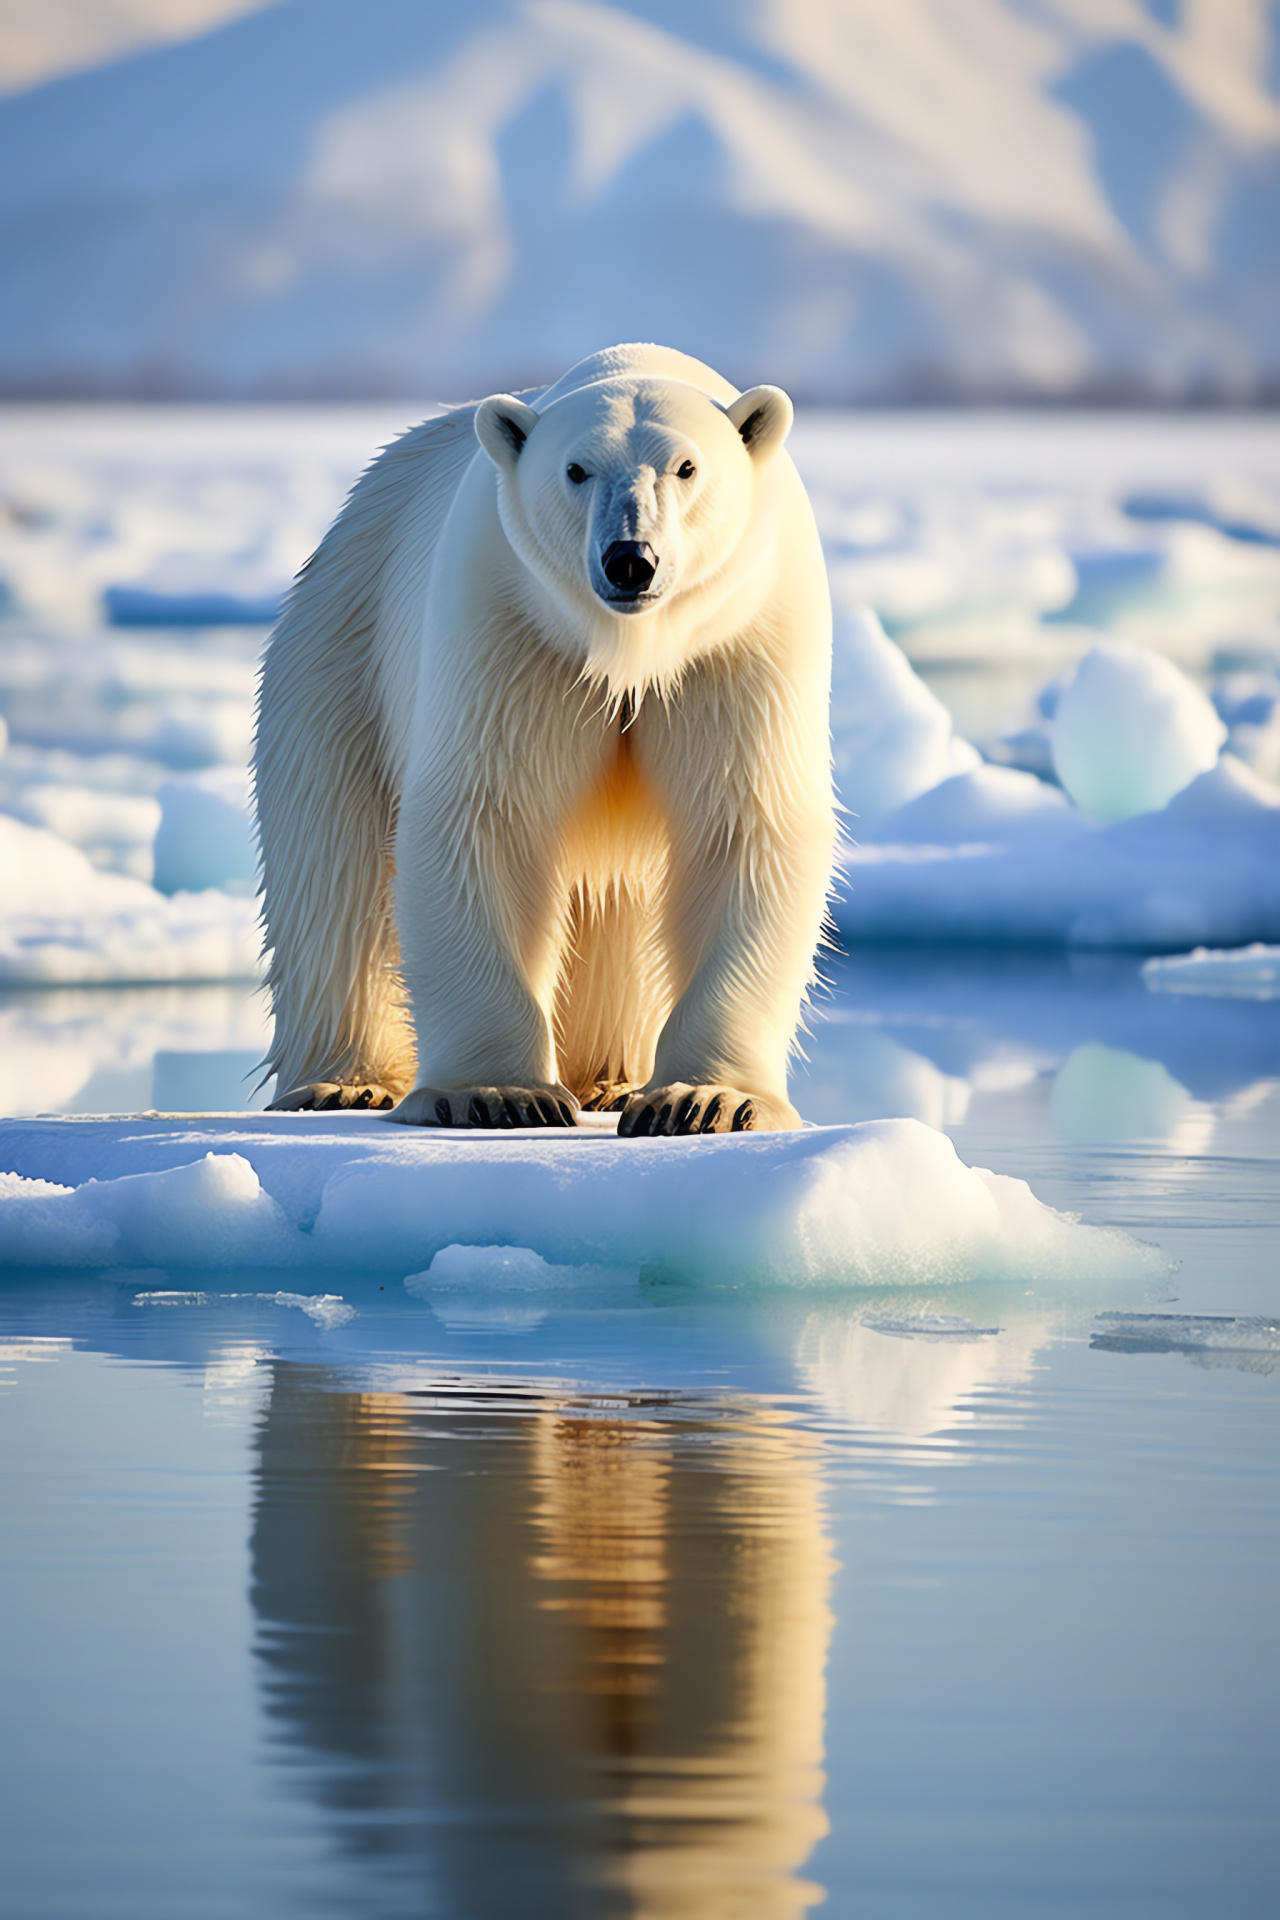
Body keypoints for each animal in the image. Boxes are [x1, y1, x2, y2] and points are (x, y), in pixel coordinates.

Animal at [253, 345, 836, 1128]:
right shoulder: (510, 623)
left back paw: (611, 1079)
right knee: (332, 870)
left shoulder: (740, 640)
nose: (631, 559)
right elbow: (487, 816)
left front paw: (704, 1100)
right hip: (339, 649)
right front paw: (498, 1093)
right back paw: (343, 1081)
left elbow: (742, 826)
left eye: (686, 467)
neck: (630, 646)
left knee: (617, 902)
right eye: (576, 468)